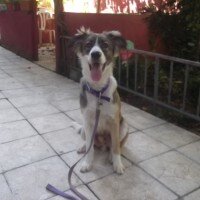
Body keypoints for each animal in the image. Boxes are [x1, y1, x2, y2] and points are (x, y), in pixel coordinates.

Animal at [68, 27, 128, 174]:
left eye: (105, 45)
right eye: (88, 44)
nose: (95, 54)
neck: (98, 91)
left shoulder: (114, 121)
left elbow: (116, 147)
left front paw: (117, 164)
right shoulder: (88, 121)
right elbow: (91, 149)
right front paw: (87, 163)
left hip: (124, 126)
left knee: (116, 145)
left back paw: (111, 157)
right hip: (84, 129)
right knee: (91, 144)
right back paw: (83, 147)